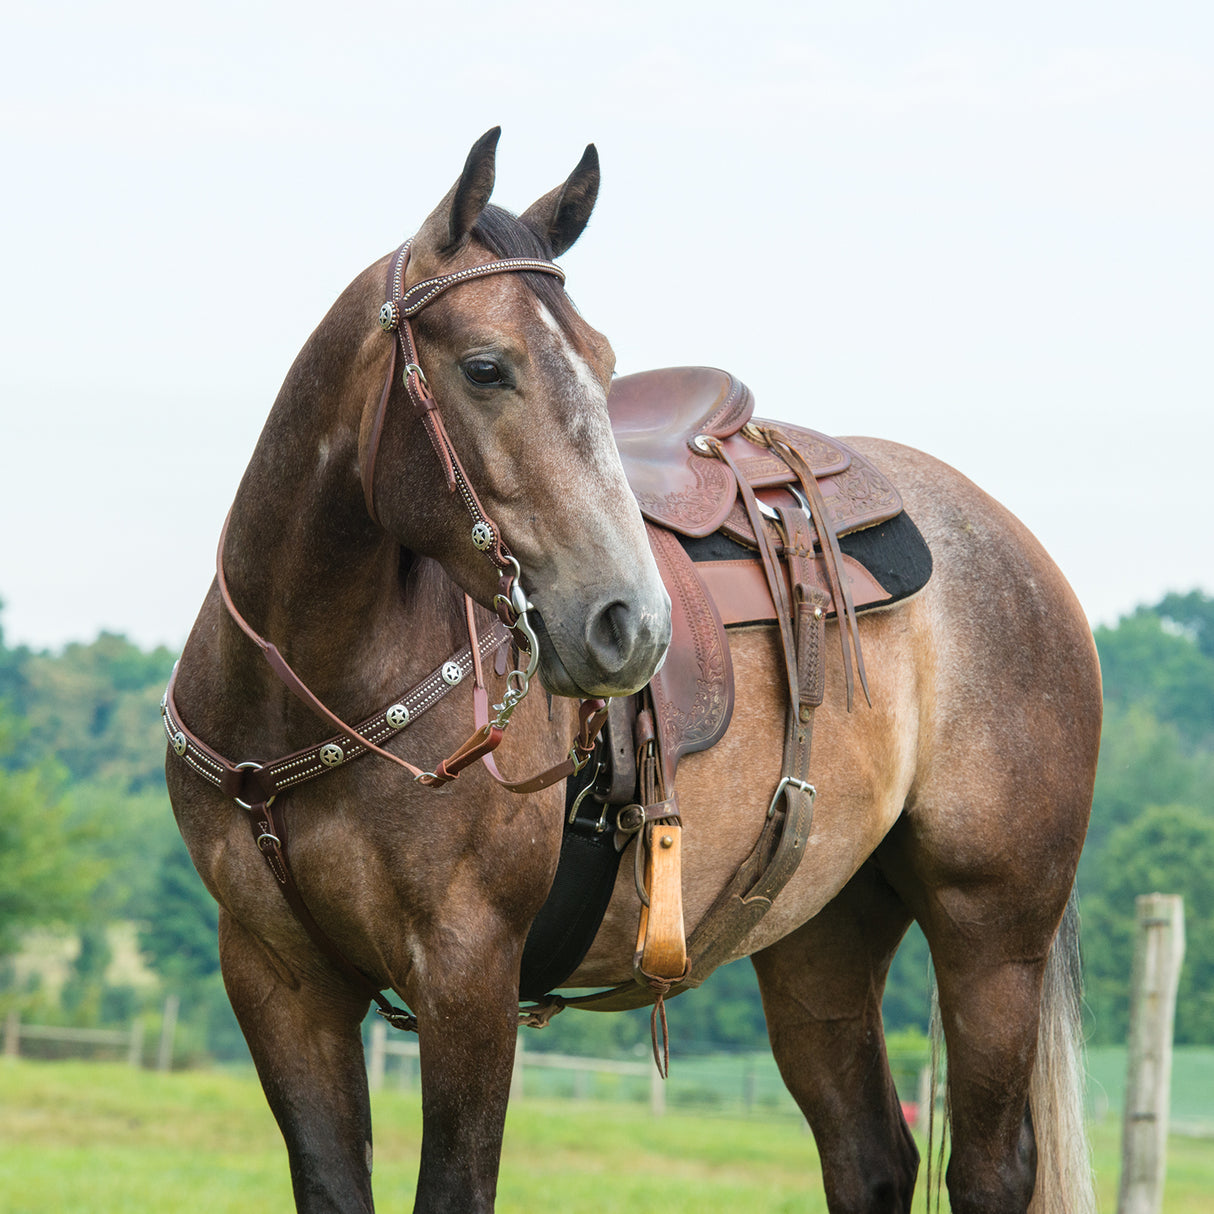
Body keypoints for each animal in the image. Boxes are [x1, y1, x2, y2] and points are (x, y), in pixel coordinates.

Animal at [166, 128, 1107, 1209]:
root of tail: (1017, 548)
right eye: (485, 367)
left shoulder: (467, 970)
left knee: (990, 1167)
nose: (632, 624)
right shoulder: (278, 979)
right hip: (818, 940)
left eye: (607, 363)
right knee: (870, 1157)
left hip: (991, 932)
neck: (306, 688)